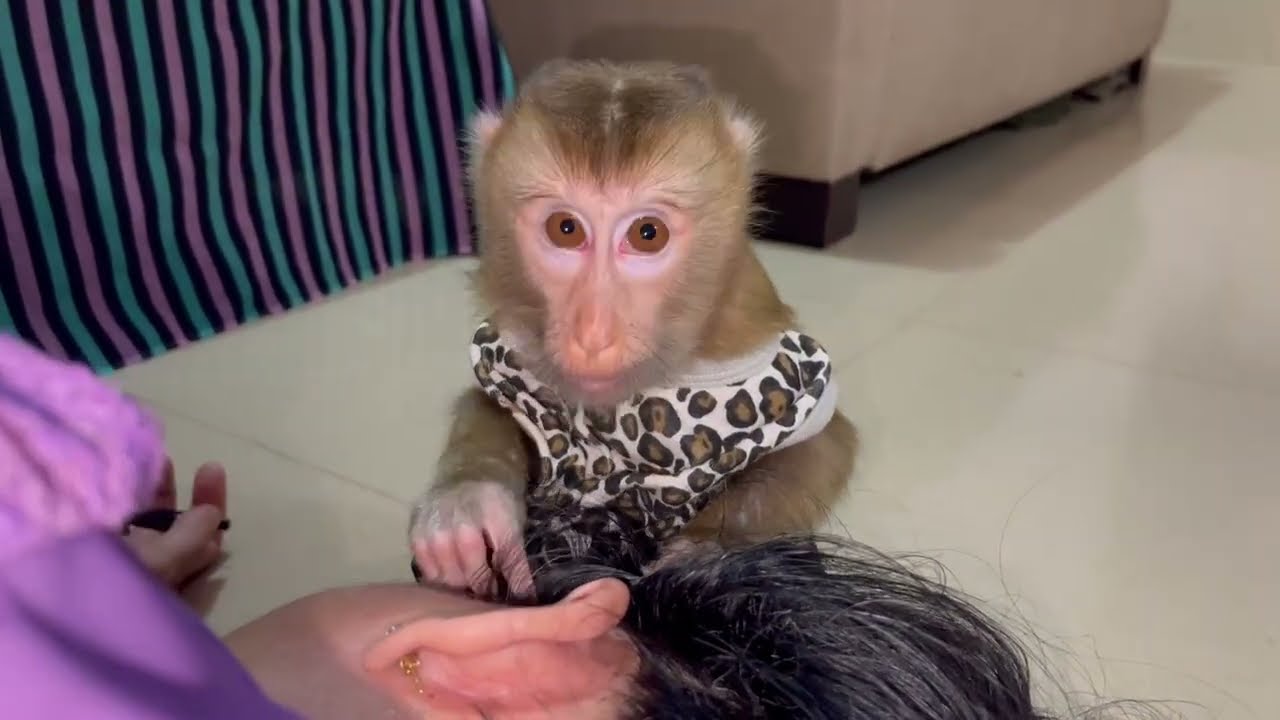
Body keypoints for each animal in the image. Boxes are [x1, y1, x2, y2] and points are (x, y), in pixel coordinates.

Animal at [409, 59, 858, 597]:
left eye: (648, 234)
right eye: (565, 228)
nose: (593, 335)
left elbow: (825, 444)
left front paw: (707, 555)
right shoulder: (513, 351)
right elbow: (494, 405)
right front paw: (467, 504)